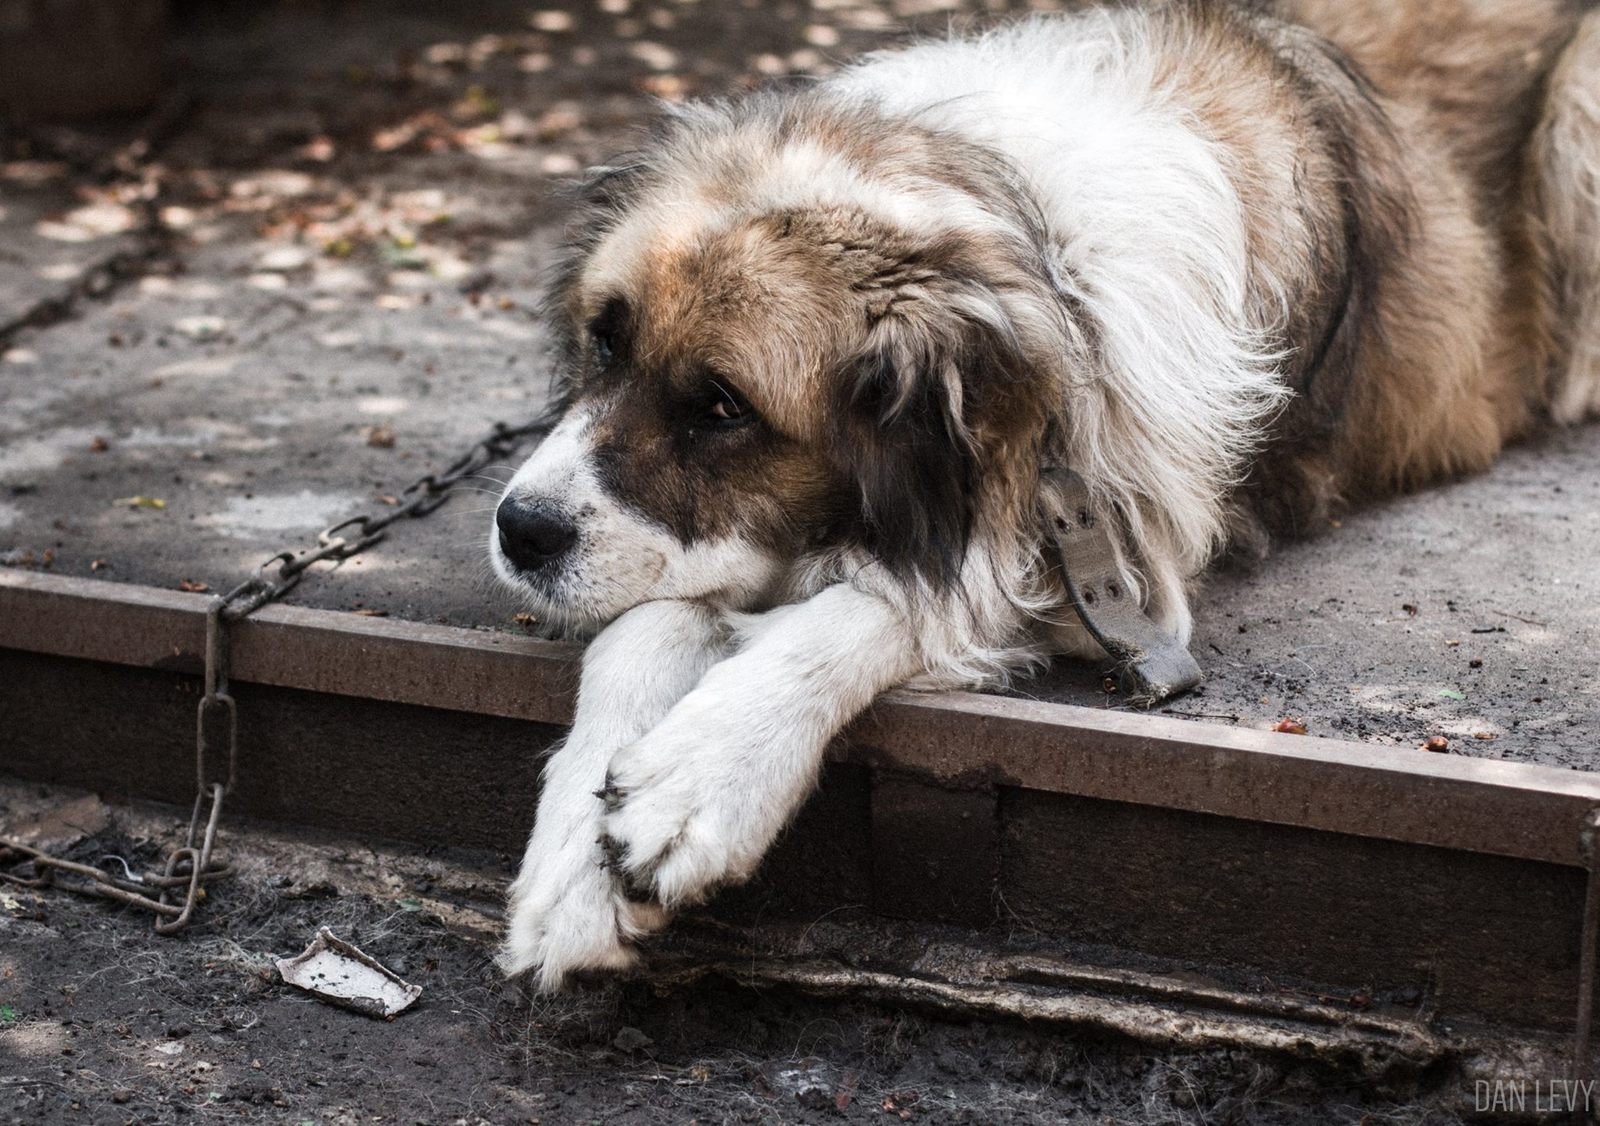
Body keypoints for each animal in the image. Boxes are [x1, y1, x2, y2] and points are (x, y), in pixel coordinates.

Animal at [486, 0, 1600, 985]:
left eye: (722, 406)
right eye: (604, 341)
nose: (517, 531)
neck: (1030, 252)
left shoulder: (1110, 551)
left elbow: (895, 601)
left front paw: (703, 773)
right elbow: (652, 622)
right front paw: (575, 865)